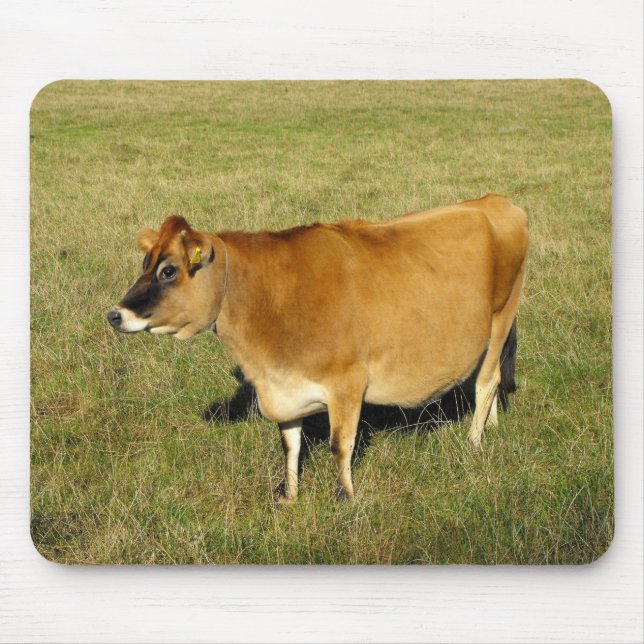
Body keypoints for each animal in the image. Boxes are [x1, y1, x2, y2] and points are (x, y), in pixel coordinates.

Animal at [108, 193, 528, 502]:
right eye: (145, 264)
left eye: (169, 270)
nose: (115, 314)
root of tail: (494, 201)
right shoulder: (282, 386)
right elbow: (290, 445)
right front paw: (289, 496)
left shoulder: (347, 382)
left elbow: (340, 444)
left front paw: (344, 497)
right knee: (489, 379)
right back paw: (489, 427)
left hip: (502, 315)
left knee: (486, 381)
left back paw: (473, 442)